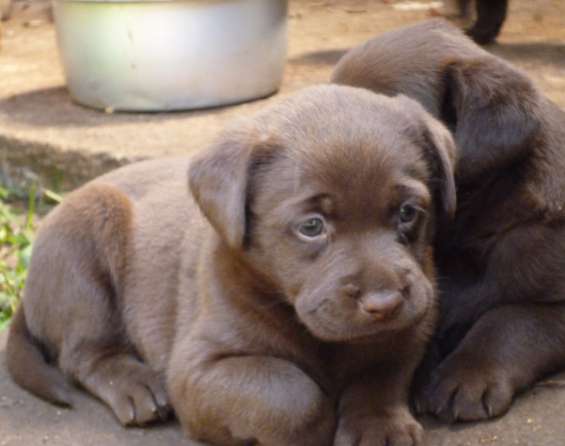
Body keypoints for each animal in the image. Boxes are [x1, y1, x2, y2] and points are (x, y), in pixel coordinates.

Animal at [5, 85, 454, 444]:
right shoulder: (197, 370)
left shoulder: (412, 325)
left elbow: (383, 374)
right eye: (312, 226)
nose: (385, 302)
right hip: (82, 246)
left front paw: (380, 427)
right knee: (83, 354)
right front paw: (314, 426)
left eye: (408, 212)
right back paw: (136, 386)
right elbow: (291, 393)